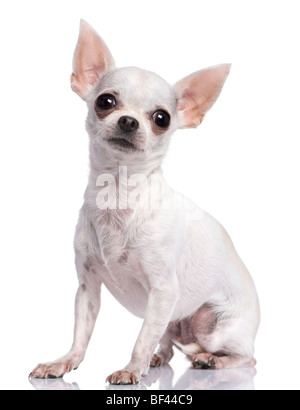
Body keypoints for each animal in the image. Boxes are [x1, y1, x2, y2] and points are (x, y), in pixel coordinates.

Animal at [31, 19, 260, 384]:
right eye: (106, 101)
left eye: (161, 118)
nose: (128, 120)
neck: (117, 192)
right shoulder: (87, 288)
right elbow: (81, 333)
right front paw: (64, 362)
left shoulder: (163, 290)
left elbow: (140, 339)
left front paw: (129, 370)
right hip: (173, 321)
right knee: (165, 343)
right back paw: (158, 358)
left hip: (215, 327)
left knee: (246, 358)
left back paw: (212, 361)